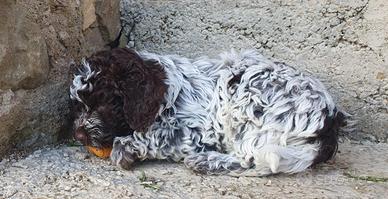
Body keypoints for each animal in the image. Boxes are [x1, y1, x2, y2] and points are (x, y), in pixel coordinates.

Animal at [69, 47, 352, 176]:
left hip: (248, 101)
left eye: (106, 104)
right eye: (80, 104)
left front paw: (126, 147)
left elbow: (153, 136)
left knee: (253, 160)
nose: (80, 136)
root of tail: (329, 120)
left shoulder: (193, 131)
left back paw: (207, 161)